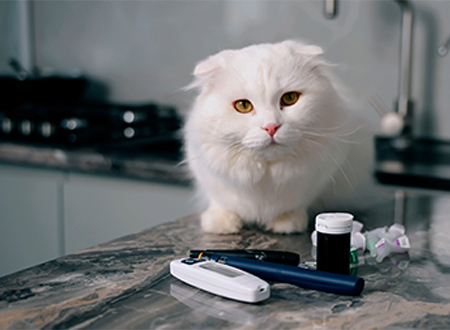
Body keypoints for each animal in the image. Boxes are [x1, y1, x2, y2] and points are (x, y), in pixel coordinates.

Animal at [182, 40, 372, 233]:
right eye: (243, 105)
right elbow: (219, 201)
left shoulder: (321, 177)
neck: (267, 177)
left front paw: (286, 222)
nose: (271, 127)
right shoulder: (206, 173)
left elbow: (297, 203)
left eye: (290, 98)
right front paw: (221, 225)